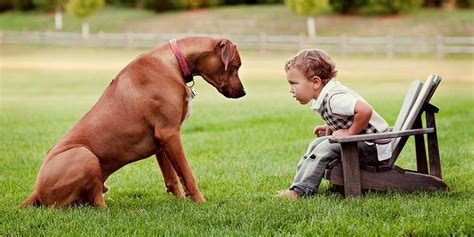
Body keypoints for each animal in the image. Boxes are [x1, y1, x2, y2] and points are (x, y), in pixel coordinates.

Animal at [20, 36, 246, 207]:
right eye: (236, 66)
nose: (243, 93)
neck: (173, 62)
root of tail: (36, 191)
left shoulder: (163, 140)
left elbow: (173, 178)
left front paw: (181, 202)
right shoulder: (170, 133)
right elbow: (188, 175)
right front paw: (200, 202)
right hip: (85, 155)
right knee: (98, 204)